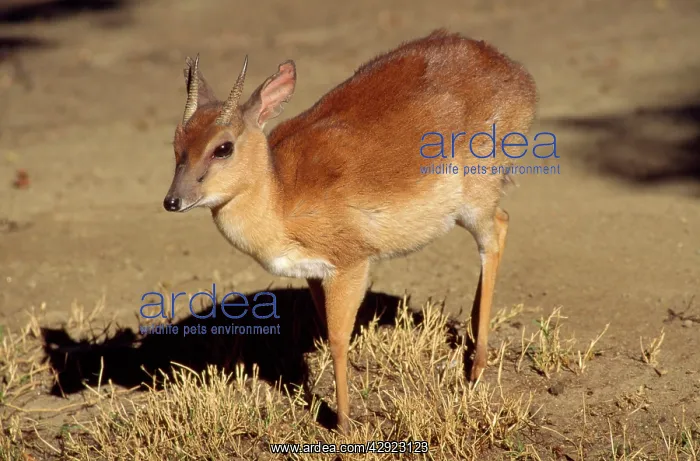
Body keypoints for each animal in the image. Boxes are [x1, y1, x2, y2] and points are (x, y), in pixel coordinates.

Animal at [163, 29, 537, 433]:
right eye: (177, 143)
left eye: (223, 147)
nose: (173, 201)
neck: (281, 196)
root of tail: (515, 73)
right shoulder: (313, 274)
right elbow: (326, 330)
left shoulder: (351, 266)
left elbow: (339, 339)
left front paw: (342, 423)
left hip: (477, 201)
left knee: (496, 234)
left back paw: (477, 368)